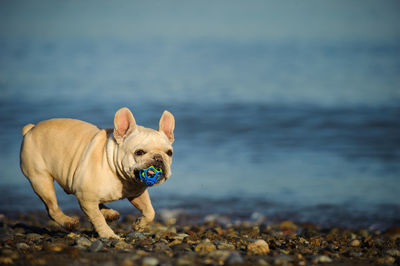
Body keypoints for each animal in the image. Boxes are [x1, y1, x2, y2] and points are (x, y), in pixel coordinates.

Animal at [19, 107, 174, 239]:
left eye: (169, 153)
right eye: (139, 152)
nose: (158, 158)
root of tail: (31, 129)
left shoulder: (137, 193)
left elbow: (150, 211)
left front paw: (139, 225)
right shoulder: (86, 196)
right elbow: (97, 218)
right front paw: (108, 234)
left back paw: (110, 213)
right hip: (41, 180)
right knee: (52, 208)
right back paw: (68, 221)